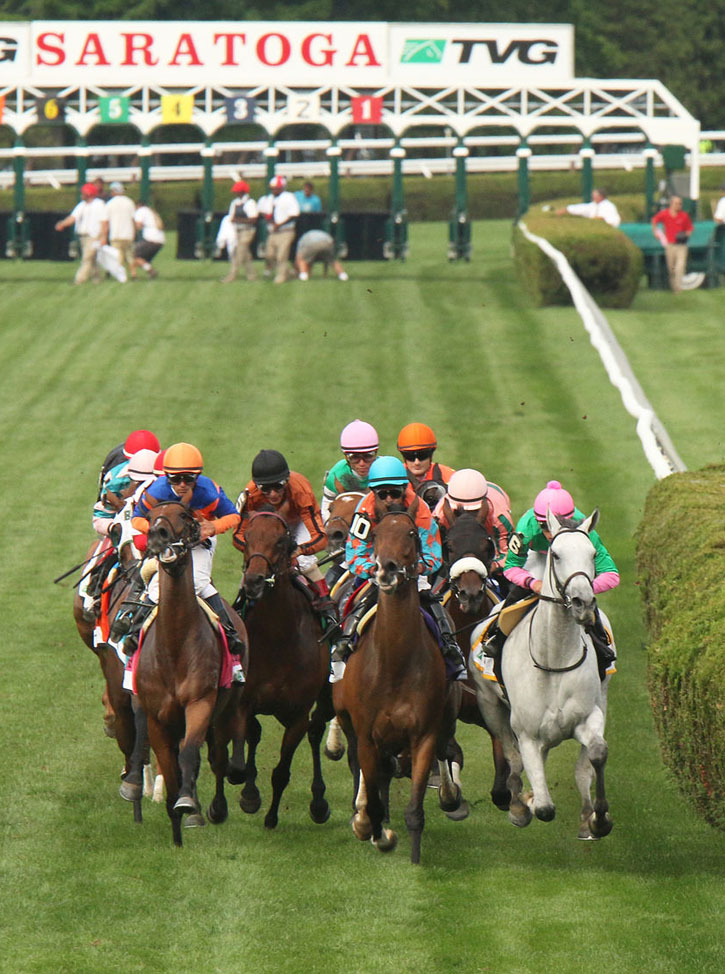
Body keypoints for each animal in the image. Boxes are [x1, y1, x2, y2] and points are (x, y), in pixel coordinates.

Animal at [129, 504, 245, 848]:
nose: (158, 533)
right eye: (152, 513)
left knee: (221, 754)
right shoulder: (157, 717)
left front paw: (186, 804)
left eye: (183, 514)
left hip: (228, 706)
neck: (174, 646)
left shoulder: (200, 702)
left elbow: (190, 753)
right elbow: (170, 767)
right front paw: (176, 831)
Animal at [235, 510, 330, 832]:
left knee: (316, 731)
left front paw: (271, 816)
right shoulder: (246, 703)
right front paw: (249, 795)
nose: (253, 581)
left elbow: (282, 771)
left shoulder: (298, 714)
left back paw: (319, 803)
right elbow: (251, 735)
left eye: (280, 541)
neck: (278, 637)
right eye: (248, 537)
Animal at [336, 500, 464, 864]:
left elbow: (415, 809)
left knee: (444, 749)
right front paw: (374, 830)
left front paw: (416, 859)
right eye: (376, 533)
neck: (393, 663)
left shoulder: (424, 735)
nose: (387, 569)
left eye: (410, 533)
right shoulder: (367, 735)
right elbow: (371, 783)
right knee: (365, 767)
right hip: (347, 718)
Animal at [472, 510, 612, 840]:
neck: (554, 658)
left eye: (592, 554)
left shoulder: (588, 715)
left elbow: (596, 753)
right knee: (511, 755)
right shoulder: (526, 733)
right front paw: (526, 803)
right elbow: (545, 808)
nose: (583, 603)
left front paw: (597, 818)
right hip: (490, 705)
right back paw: (518, 802)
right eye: (556, 554)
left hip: (603, 694)